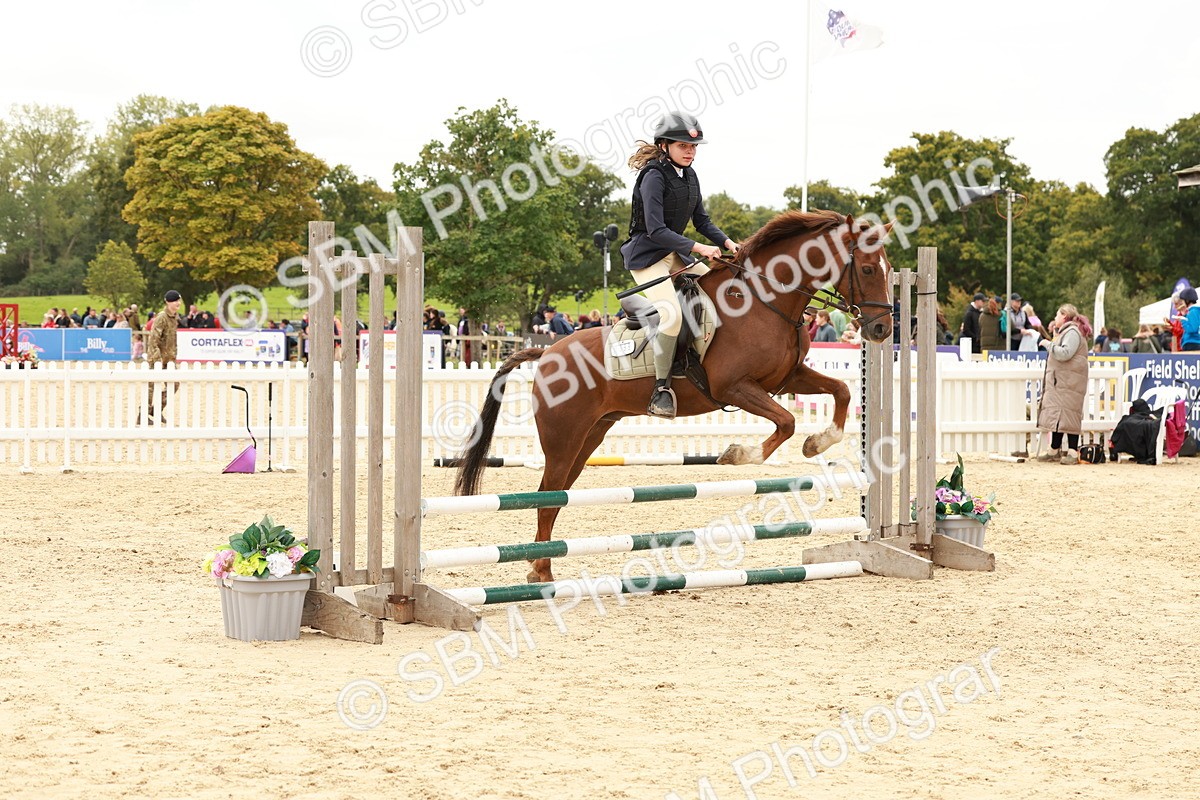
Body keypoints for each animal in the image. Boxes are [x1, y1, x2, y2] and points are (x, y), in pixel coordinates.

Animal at [455, 210, 895, 582]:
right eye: (867, 268)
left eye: (890, 271)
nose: (881, 330)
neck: (765, 300)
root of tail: (547, 352)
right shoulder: (735, 387)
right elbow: (785, 423)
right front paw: (737, 454)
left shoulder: (787, 379)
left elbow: (840, 391)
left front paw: (817, 442)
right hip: (563, 437)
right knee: (547, 495)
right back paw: (541, 572)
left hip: (590, 435)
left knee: (559, 494)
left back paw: (541, 567)